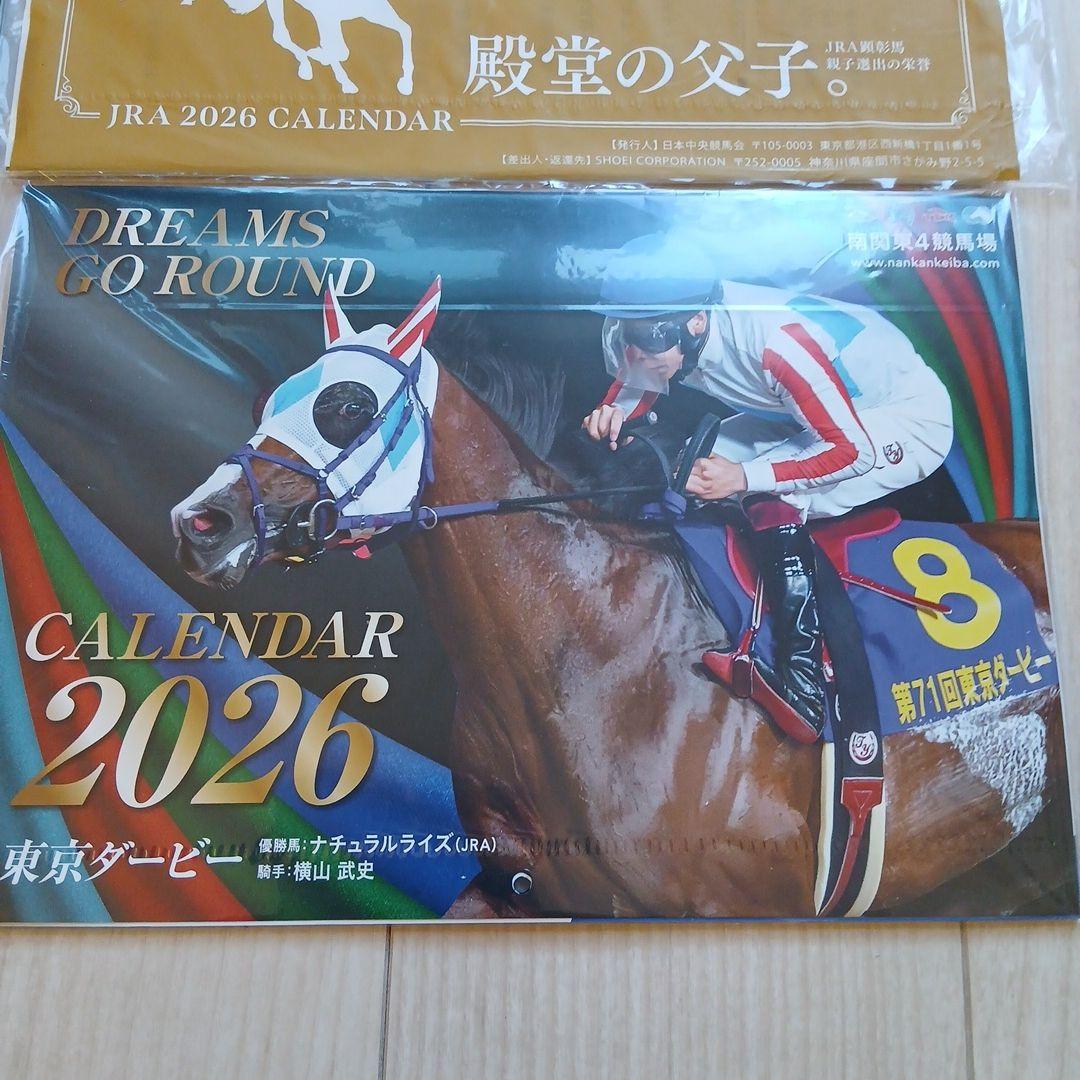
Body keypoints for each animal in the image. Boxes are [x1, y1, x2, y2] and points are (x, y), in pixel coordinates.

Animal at [187, 0, 414, 95]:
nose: (235, 8)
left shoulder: (374, 11)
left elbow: (405, 29)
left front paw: (405, 83)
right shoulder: (324, 16)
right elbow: (339, 50)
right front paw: (321, 58)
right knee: (281, 35)